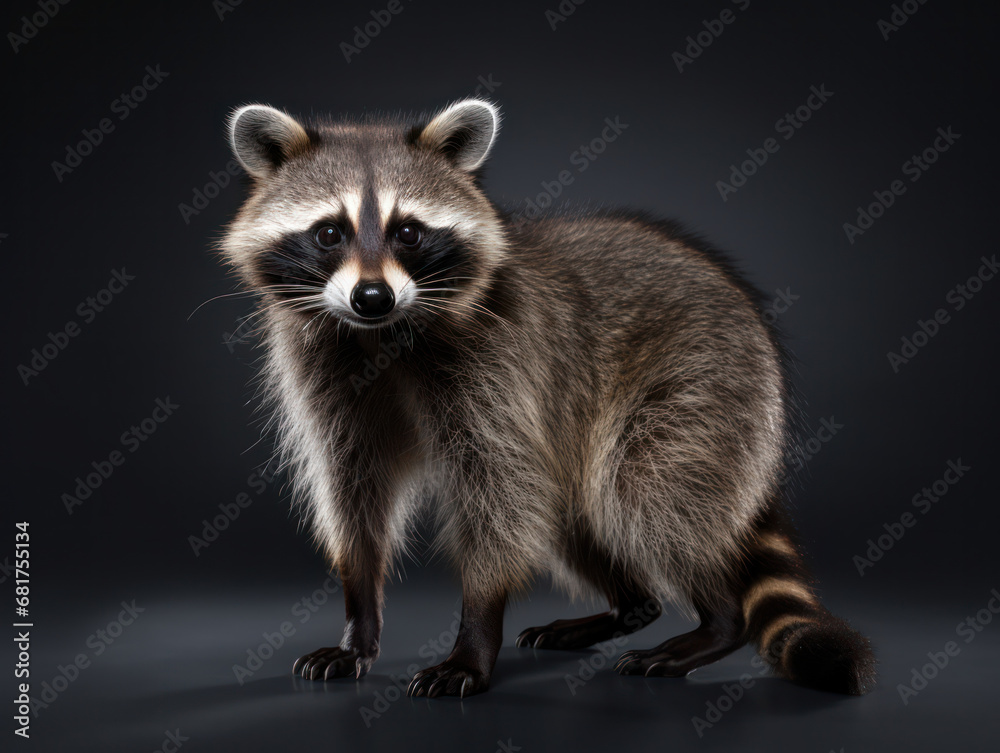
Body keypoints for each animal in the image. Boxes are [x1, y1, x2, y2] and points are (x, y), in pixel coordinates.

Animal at [219, 98, 877, 698]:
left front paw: (475, 635)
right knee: (580, 513)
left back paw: (718, 619)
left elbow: (500, 496)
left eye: (408, 231)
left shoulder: (499, 365)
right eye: (329, 232)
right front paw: (359, 617)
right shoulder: (327, 374)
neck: (382, 335)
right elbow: (354, 490)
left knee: (647, 490)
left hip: (707, 382)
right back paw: (629, 605)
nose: (372, 296)